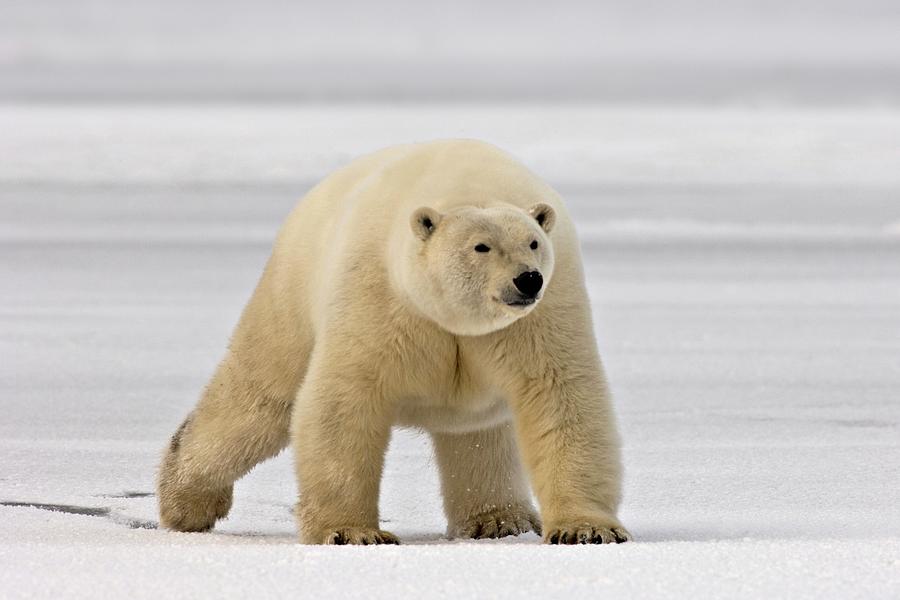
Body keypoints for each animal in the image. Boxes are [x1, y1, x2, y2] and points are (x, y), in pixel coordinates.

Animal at [158, 139, 628, 544]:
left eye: (533, 242)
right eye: (481, 246)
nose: (528, 279)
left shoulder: (541, 314)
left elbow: (558, 393)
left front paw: (586, 529)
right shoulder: (381, 295)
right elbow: (346, 397)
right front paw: (352, 532)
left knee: (480, 436)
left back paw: (499, 520)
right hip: (290, 294)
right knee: (259, 401)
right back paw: (185, 500)